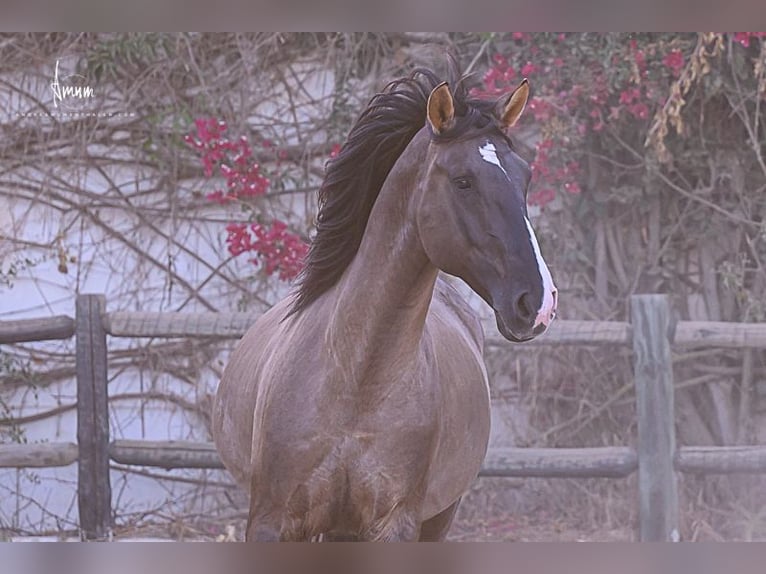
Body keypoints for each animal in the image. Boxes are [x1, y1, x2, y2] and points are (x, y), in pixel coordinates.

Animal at [212, 62, 557, 541]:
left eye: (525, 177)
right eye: (464, 181)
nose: (538, 302)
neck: (354, 379)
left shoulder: (396, 523)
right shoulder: (271, 520)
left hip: (432, 519)